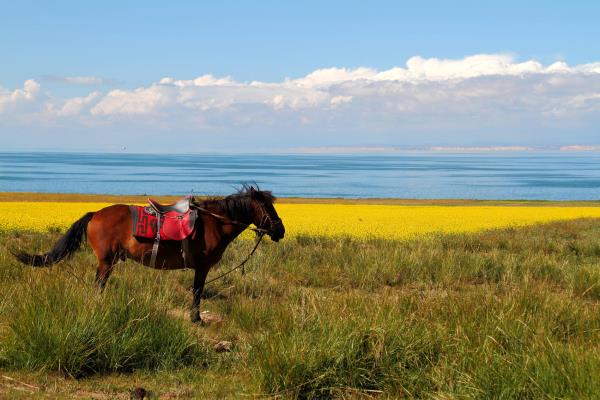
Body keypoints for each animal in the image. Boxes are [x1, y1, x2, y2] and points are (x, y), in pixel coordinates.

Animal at [13, 186, 286, 324]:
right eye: (267, 207)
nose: (280, 230)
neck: (214, 223)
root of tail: (96, 214)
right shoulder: (202, 267)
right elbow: (197, 292)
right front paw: (196, 319)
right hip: (106, 262)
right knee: (99, 284)